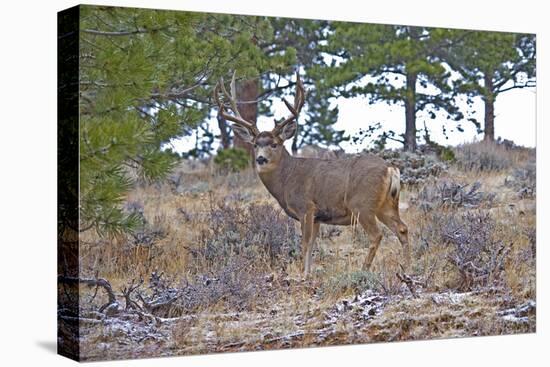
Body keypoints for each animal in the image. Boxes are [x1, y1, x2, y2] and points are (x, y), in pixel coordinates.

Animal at [213, 72, 412, 276]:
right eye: (255, 145)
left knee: (376, 235)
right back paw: (408, 268)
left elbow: (305, 244)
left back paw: (364, 270)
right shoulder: (317, 216)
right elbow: (312, 245)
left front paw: (303, 275)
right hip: (386, 204)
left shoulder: (306, 208)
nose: (261, 159)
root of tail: (390, 169)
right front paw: (308, 274)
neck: (286, 180)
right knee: (402, 229)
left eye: (275, 144)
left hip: (362, 204)